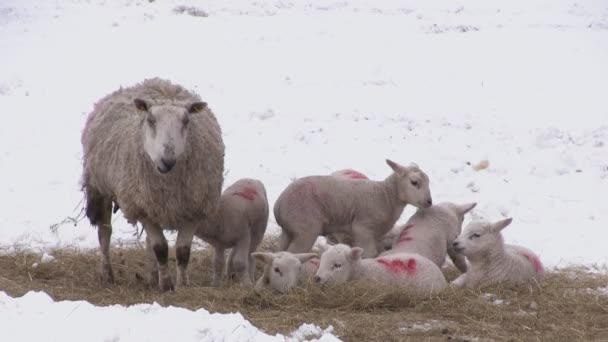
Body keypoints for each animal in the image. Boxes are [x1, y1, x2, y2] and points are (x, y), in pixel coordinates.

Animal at [79, 77, 224, 292]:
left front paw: (182, 284)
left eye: (186, 120)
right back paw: (107, 275)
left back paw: (153, 276)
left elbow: (182, 251)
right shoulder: (143, 209)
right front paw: (166, 285)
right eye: (151, 120)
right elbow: (161, 249)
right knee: (105, 233)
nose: (167, 161)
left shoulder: (194, 208)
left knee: (148, 243)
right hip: (100, 187)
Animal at [276, 159, 432, 258]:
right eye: (414, 182)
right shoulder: (363, 229)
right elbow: (370, 253)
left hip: (289, 230)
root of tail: (279, 204)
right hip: (305, 229)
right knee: (294, 252)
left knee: (280, 250)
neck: (385, 196)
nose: (429, 202)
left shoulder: (375, 235)